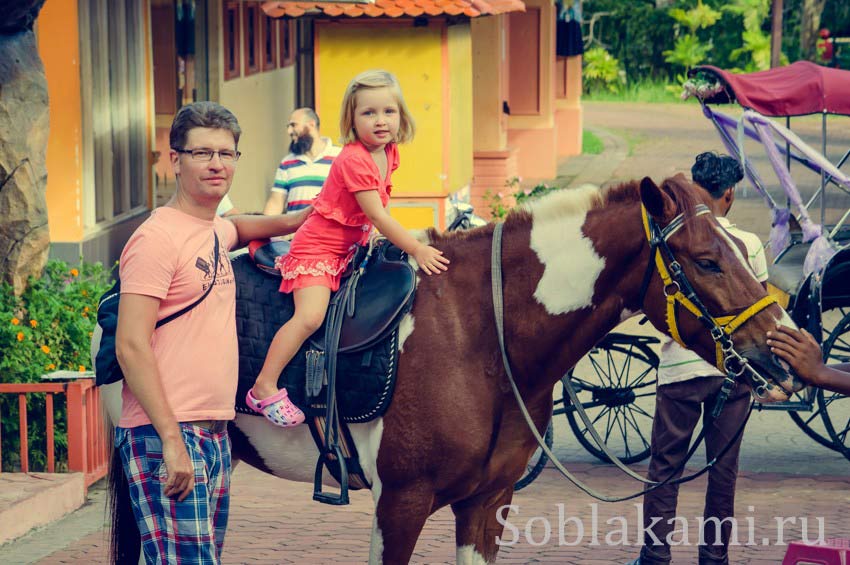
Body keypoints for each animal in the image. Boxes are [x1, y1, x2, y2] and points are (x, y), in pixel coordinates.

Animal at [99, 174, 796, 560]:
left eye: (740, 248)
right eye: (707, 260)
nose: (780, 347)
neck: (480, 337)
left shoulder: (488, 504)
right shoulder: (400, 504)